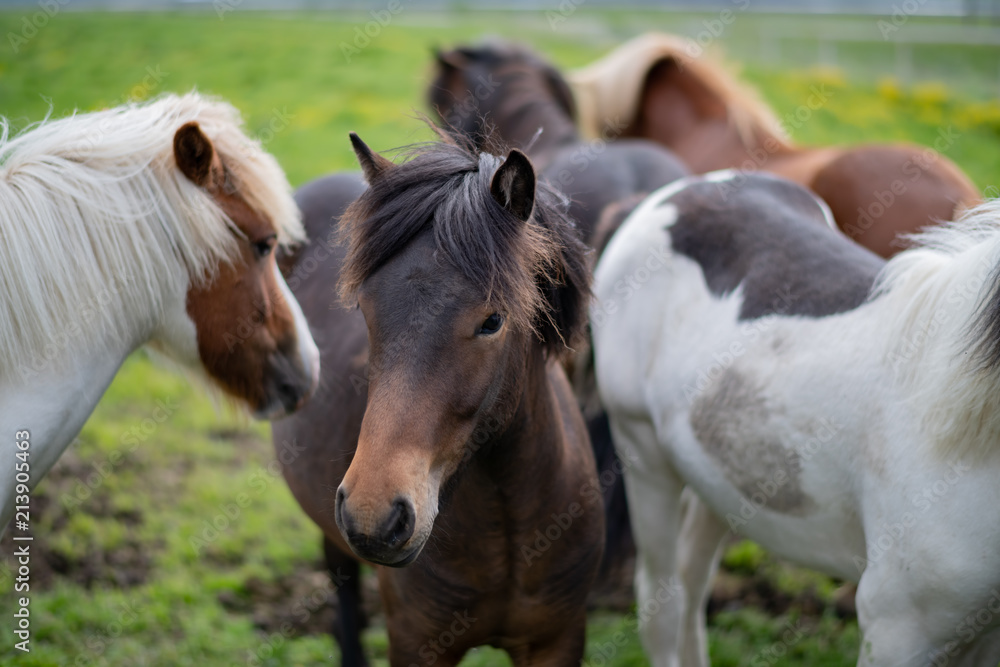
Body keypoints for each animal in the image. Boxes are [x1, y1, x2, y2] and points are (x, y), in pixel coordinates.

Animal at [591, 169, 1000, 666]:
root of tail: (668, 195)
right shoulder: (897, 627)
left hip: (724, 473)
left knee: (692, 579)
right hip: (643, 453)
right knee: (661, 603)